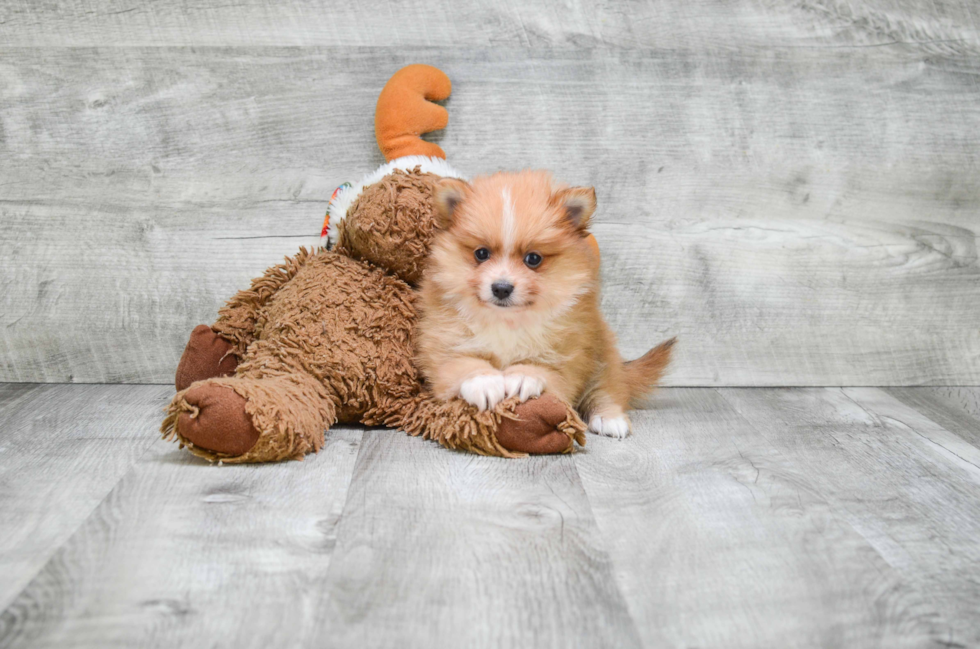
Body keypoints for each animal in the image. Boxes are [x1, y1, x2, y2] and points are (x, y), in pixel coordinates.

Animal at [414, 170, 672, 438]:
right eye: (481, 254)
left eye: (533, 259)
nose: (501, 288)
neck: (508, 321)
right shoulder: (443, 345)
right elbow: (463, 363)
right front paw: (484, 382)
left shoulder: (565, 355)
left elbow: (541, 366)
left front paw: (522, 377)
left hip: (602, 355)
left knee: (607, 388)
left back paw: (609, 418)